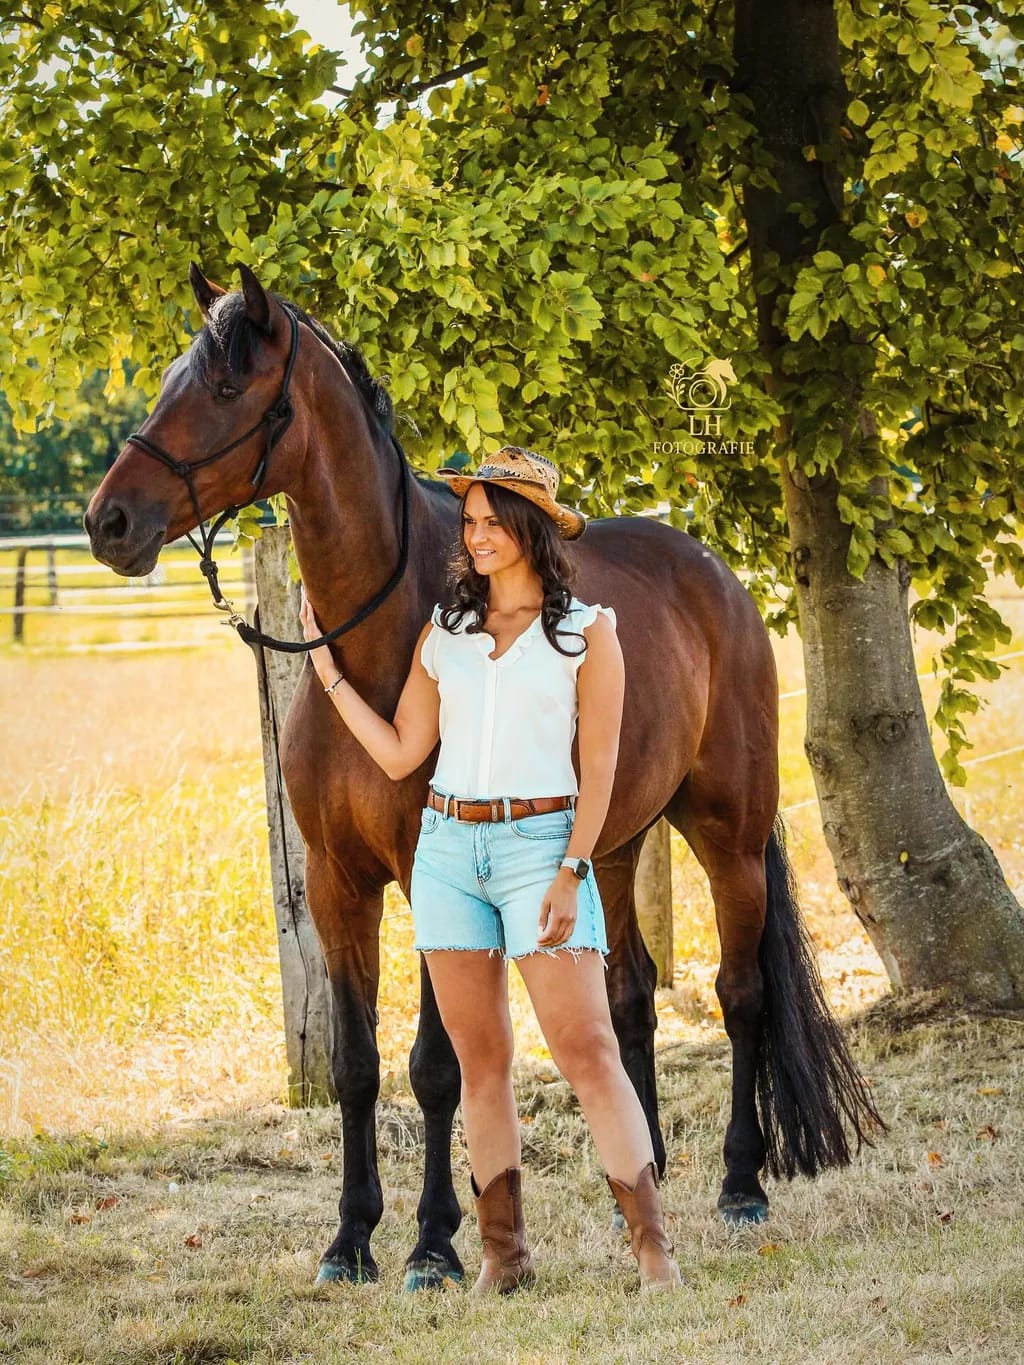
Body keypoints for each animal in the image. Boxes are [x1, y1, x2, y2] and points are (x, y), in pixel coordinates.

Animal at [84, 264, 882, 1288]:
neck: (385, 645)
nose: (109, 521)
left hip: (729, 837)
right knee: (628, 996)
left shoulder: (431, 876)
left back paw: (741, 1185)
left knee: (740, 996)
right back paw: (641, 1170)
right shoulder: (338, 882)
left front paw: (433, 1242)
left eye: (225, 386)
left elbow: (437, 1065)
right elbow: (355, 1064)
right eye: (169, 379)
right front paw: (349, 1240)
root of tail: (716, 576)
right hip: (610, 846)